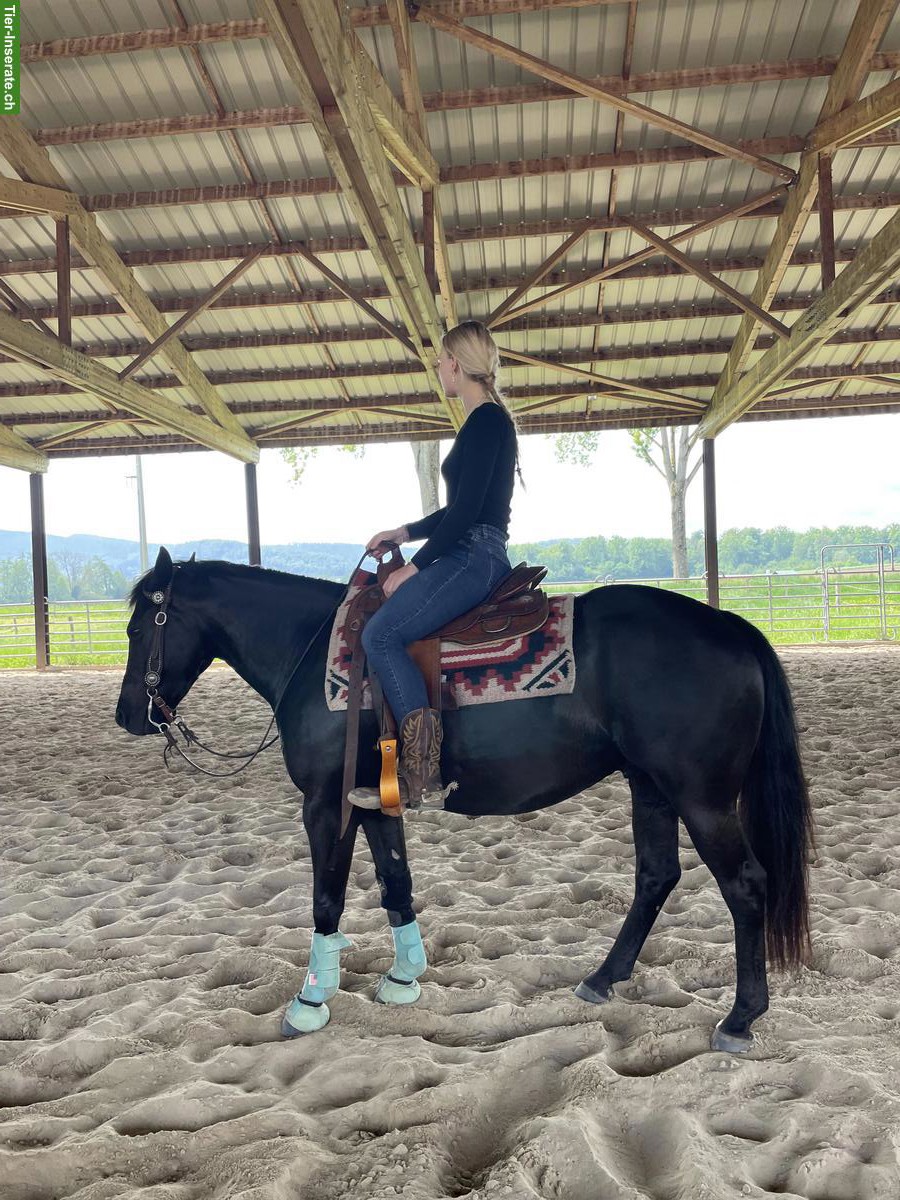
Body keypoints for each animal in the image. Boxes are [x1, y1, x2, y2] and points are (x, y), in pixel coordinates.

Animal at [115, 546, 812, 1053]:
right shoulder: (375, 803)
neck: (313, 655)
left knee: (745, 885)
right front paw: (403, 978)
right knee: (656, 875)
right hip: (650, 787)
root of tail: (731, 627)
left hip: (702, 798)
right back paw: (601, 979)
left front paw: (310, 1003)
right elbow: (395, 882)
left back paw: (740, 1018)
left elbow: (327, 899)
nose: (129, 715)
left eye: (139, 627)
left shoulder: (327, 805)